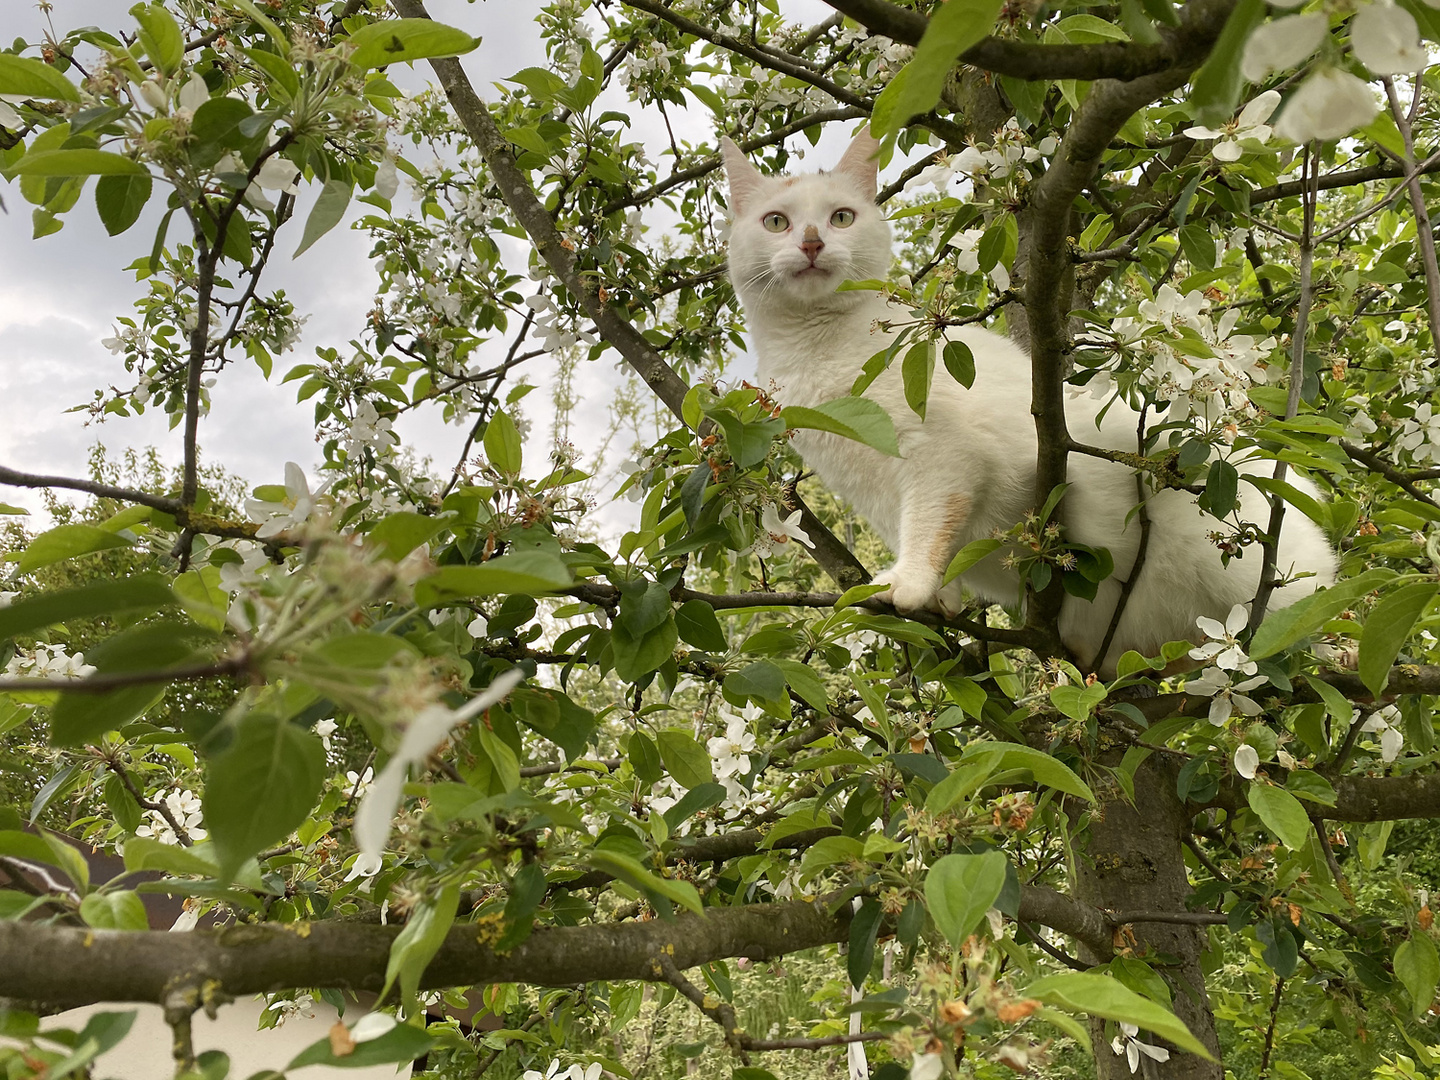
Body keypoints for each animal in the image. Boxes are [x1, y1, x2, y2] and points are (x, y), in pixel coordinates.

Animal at [720, 131, 1336, 676]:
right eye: (776, 221)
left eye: (841, 217)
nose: (811, 243)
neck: (816, 345)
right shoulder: (870, 488)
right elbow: (906, 527)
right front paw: (939, 597)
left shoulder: (942, 458)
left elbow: (929, 523)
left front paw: (910, 584)